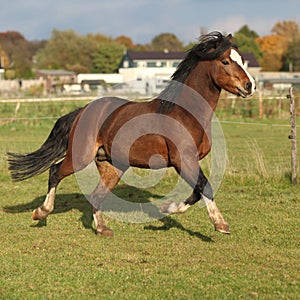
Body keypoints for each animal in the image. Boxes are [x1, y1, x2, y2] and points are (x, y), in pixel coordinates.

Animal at [7, 32, 255, 237]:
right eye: (225, 61)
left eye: (242, 59)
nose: (249, 85)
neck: (185, 113)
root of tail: (83, 110)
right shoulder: (182, 159)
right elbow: (205, 186)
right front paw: (221, 224)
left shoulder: (188, 162)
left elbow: (197, 191)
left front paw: (167, 208)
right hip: (80, 156)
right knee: (55, 171)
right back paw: (41, 212)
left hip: (112, 165)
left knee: (95, 195)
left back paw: (103, 229)